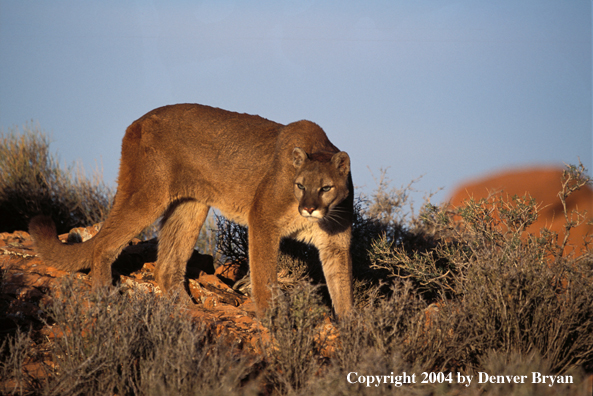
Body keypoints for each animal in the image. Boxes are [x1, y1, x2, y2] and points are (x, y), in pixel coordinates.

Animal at [28, 103, 352, 318]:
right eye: (300, 185)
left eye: (326, 188)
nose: (308, 208)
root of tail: (137, 121)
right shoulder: (263, 222)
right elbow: (264, 277)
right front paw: (271, 318)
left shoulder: (335, 244)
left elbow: (342, 287)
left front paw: (350, 331)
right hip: (149, 193)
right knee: (104, 244)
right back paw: (104, 296)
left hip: (190, 207)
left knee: (167, 265)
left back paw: (185, 308)